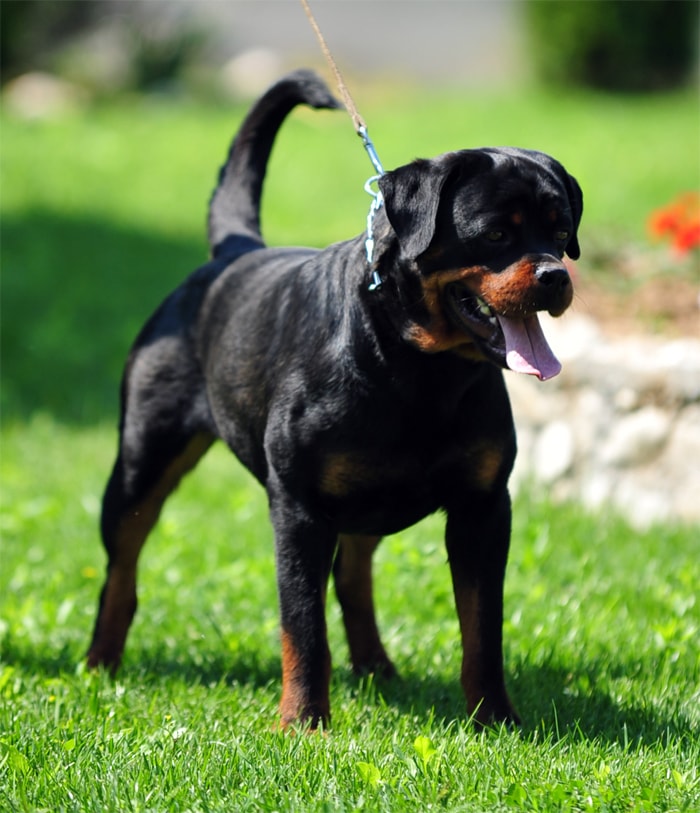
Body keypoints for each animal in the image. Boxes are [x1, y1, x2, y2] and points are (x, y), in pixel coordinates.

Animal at [86, 71, 580, 728]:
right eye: (496, 233)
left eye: (561, 232)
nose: (556, 276)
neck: (419, 370)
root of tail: (233, 255)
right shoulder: (298, 509)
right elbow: (302, 625)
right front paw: (303, 722)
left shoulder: (483, 508)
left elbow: (483, 627)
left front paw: (494, 717)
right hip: (142, 460)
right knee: (122, 564)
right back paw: (100, 661)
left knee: (353, 574)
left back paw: (374, 664)